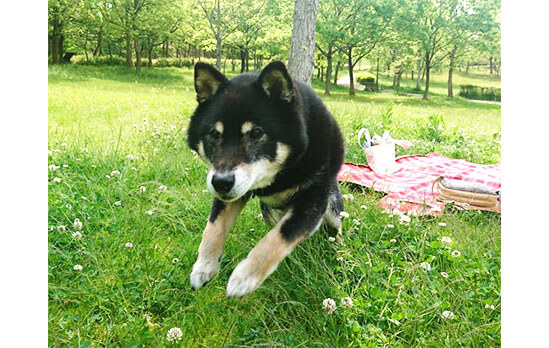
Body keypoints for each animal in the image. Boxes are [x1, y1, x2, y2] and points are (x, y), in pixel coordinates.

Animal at [186, 59, 344, 296]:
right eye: (214, 134)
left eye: (256, 133)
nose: (221, 183)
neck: (281, 174)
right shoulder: (232, 193)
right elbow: (213, 227)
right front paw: (204, 266)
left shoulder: (312, 201)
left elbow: (278, 237)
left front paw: (245, 277)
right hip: (268, 212)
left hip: (332, 208)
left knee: (336, 226)